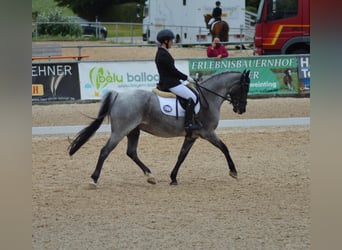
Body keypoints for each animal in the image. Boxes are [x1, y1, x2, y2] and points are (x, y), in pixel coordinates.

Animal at [69, 70, 251, 186]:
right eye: (245, 87)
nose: (241, 109)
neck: (209, 97)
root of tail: (119, 95)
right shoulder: (208, 133)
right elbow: (224, 148)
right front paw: (233, 172)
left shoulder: (192, 136)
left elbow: (181, 156)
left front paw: (173, 178)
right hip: (120, 131)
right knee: (105, 151)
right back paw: (94, 179)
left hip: (133, 131)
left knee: (131, 152)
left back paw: (150, 176)